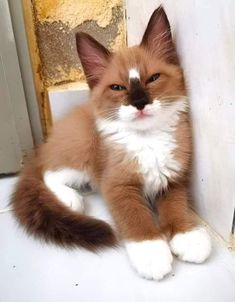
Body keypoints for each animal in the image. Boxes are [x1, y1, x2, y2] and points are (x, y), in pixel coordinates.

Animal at [12, 7, 211, 280]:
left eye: (153, 78)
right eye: (117, 87)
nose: (139, 103)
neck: (147, 139)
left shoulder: (172, 179)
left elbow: (177, 208)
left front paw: (188, 237)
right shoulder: (117, 185)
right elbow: (136, 218)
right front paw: (152, 253)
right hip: (83, 147)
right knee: (47, 173)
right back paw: (71, 199)